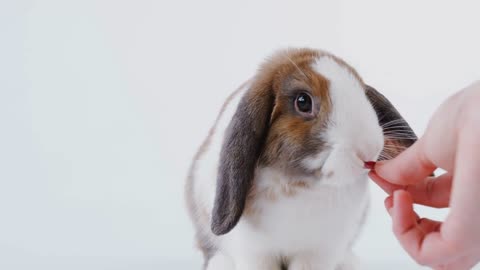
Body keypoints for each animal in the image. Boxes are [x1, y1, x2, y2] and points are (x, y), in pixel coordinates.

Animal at [186, 48, 418, 270]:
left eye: (363, 94)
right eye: (303, 102)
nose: (368, 148)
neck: (301, 185)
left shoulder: (321, 250)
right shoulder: (254, 250)